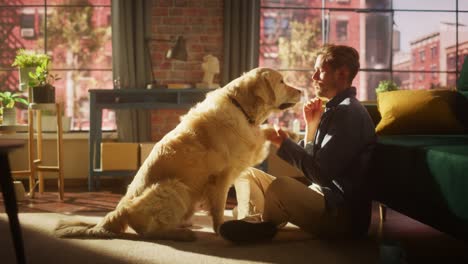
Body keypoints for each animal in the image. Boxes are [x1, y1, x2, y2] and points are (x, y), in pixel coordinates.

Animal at [54, 67, 302, 241]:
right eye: (282, 81)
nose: (301, 90)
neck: (241, 107)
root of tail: (119, 210)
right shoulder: (222, 175)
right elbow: (219, 209)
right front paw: (220, 229)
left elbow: (265, 131)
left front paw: (289, 133)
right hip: (174, 187)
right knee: (149, 233)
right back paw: (181, 234)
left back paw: (184, 225)